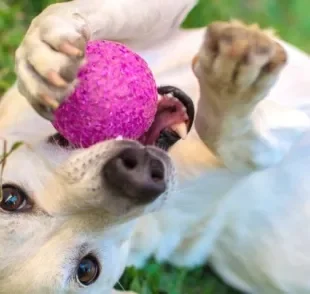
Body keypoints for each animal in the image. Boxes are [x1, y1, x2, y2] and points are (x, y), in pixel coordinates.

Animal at [3, 0, 310, 294]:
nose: (134, 175)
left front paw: (45, 47)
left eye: (9, 198)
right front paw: (231, 88)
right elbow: (235, 141)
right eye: (87, 270)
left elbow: (95, 10)